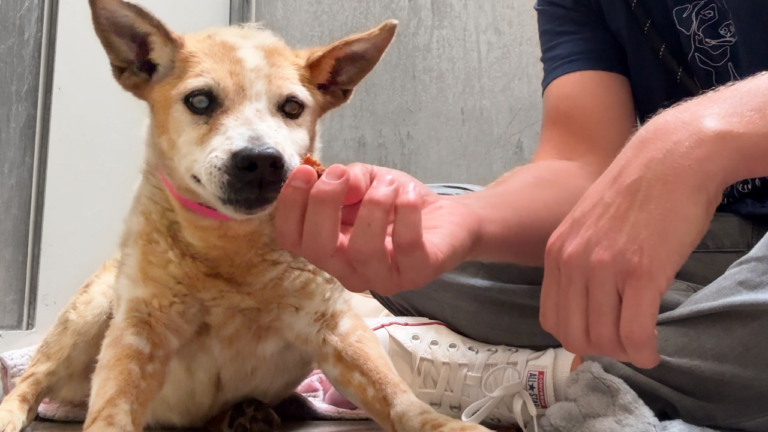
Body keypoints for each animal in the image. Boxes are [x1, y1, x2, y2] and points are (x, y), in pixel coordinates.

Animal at [0, 0, 492, 432]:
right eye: (200, 101)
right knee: (31, 379)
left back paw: (251, 413)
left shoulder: (337, 328)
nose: (261, 161)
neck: (231, 249)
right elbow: (112, 405)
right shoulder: (139, 330)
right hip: (90, 311)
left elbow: (396, 396)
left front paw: (443, 424)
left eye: (292, 107)